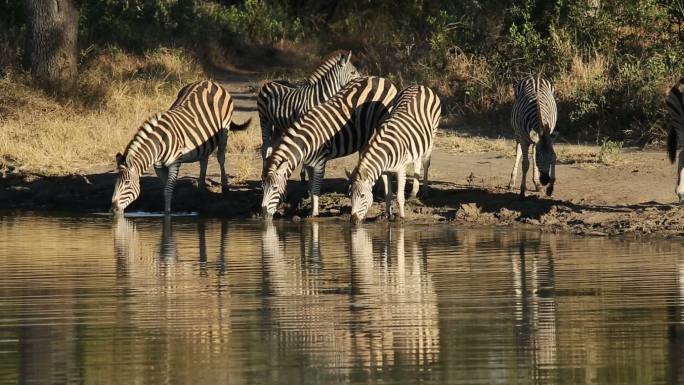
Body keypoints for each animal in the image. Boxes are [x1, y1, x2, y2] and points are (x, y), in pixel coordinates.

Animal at [111, 80, 250, 214]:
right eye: (116, 182)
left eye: (127, 183)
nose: (113, 209)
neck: (159, 145)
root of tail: (211, 81)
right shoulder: (158, 166)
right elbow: (166, 187)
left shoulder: (175, 162)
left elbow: (168, 189)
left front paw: (168, 213)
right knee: (204, 160)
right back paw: (200, 189)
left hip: (224, 131)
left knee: (221, 158)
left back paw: (225, 187)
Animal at [262, 76, 400, 218]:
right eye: (263, 187)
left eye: (274, 188)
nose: (263, 212)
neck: (307, 140)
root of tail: (381, 79)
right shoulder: (310, 163)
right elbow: (311, 187)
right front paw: (311, 209)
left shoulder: (320, 162)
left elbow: (316, 188)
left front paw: (314, 214)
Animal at [350, 84, 440, 222]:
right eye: (350, 195)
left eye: (363, 195)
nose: (352, 220)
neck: (385, 152)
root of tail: (419, 85)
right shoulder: (384, 171)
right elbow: (388, 194)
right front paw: (387, 214)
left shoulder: (400, 169)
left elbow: (399, 196)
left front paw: (401, 217)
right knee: (417, 162)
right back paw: (413, 192)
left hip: (432, 135)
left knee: (425, 163)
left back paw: (424, 192)